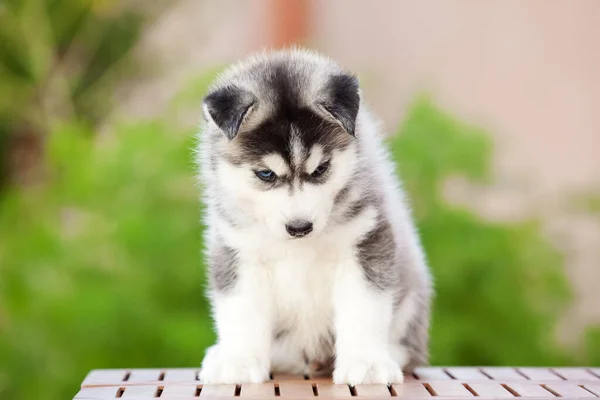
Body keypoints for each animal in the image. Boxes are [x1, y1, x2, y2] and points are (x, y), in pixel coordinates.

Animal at [197, 48, 432, 386]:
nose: (299, 227)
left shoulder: (367, 242)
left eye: (321, 169)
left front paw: (366, 362)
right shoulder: (236, 251)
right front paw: (238, 360)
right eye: (265, 174)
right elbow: (240, 310)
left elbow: (364, 308)